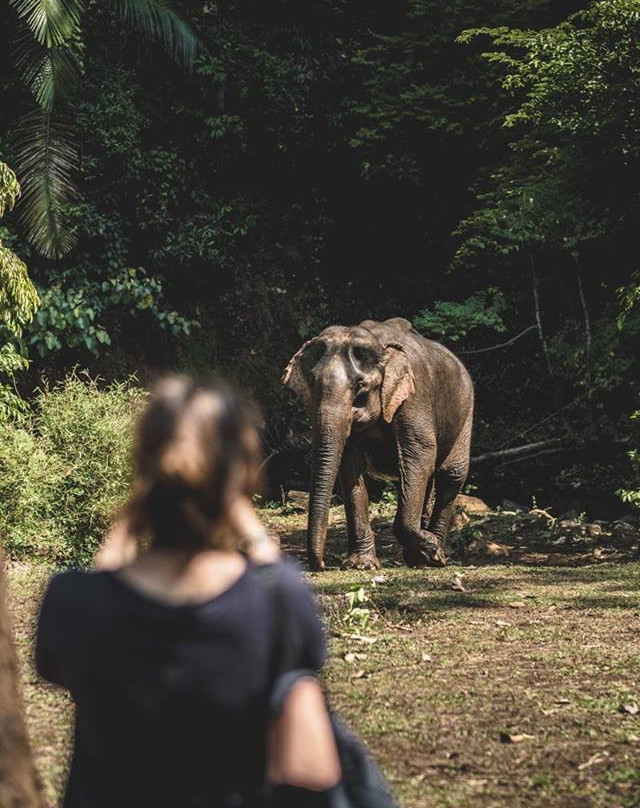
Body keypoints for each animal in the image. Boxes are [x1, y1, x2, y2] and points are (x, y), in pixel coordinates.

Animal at [282, 317, 474, 571]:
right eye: (312, 386)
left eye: (360, 387)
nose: (321, 565)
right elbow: (349, 465)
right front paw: (361, 565)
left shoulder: (415, 396)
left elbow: (419, 453)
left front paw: (432, 548)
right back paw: (418, 558)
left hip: (466, 409)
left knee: (450, 474)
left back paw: (436, 557)